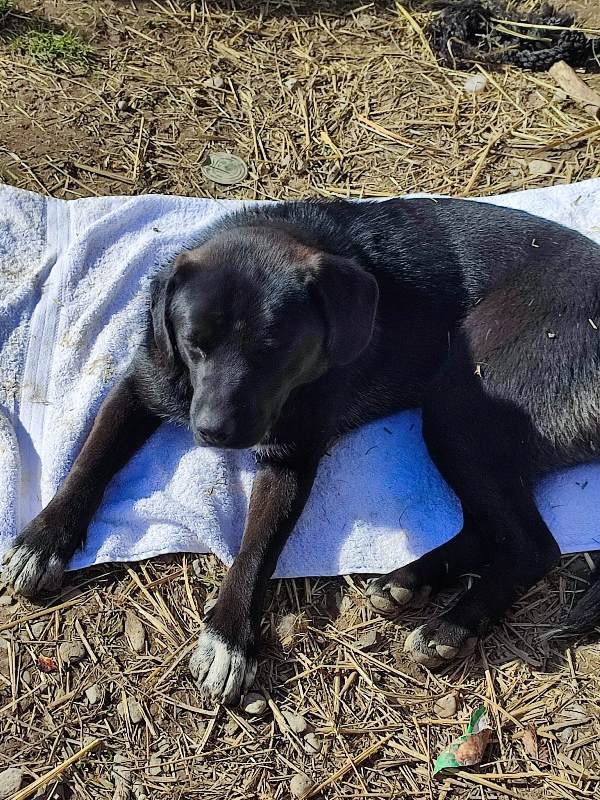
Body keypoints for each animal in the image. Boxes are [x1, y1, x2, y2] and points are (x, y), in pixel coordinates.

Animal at [2, 197, 596, 704]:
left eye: (273, 349)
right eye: (194, 343)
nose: (213, 432)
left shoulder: (290, 458)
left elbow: (258, 545)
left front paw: (229, 637)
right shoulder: (141, 384)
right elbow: (90, 460)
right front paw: (43, 540)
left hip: (462, 404)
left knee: (531, 544)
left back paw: (450, 625)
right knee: (489, 528)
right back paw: (409, 582)